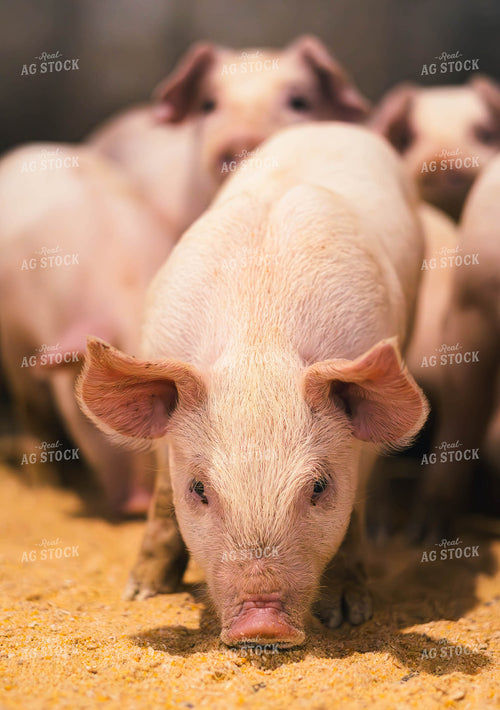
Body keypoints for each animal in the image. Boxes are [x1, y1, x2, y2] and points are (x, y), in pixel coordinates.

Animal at [77, 122, 428, 646]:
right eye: (199, 489)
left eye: (319, 487)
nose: (262, 622)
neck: (258, 346)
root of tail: (330, 125)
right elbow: (160, 501)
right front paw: (140, 593)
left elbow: (353, 521)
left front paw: (349, 615)